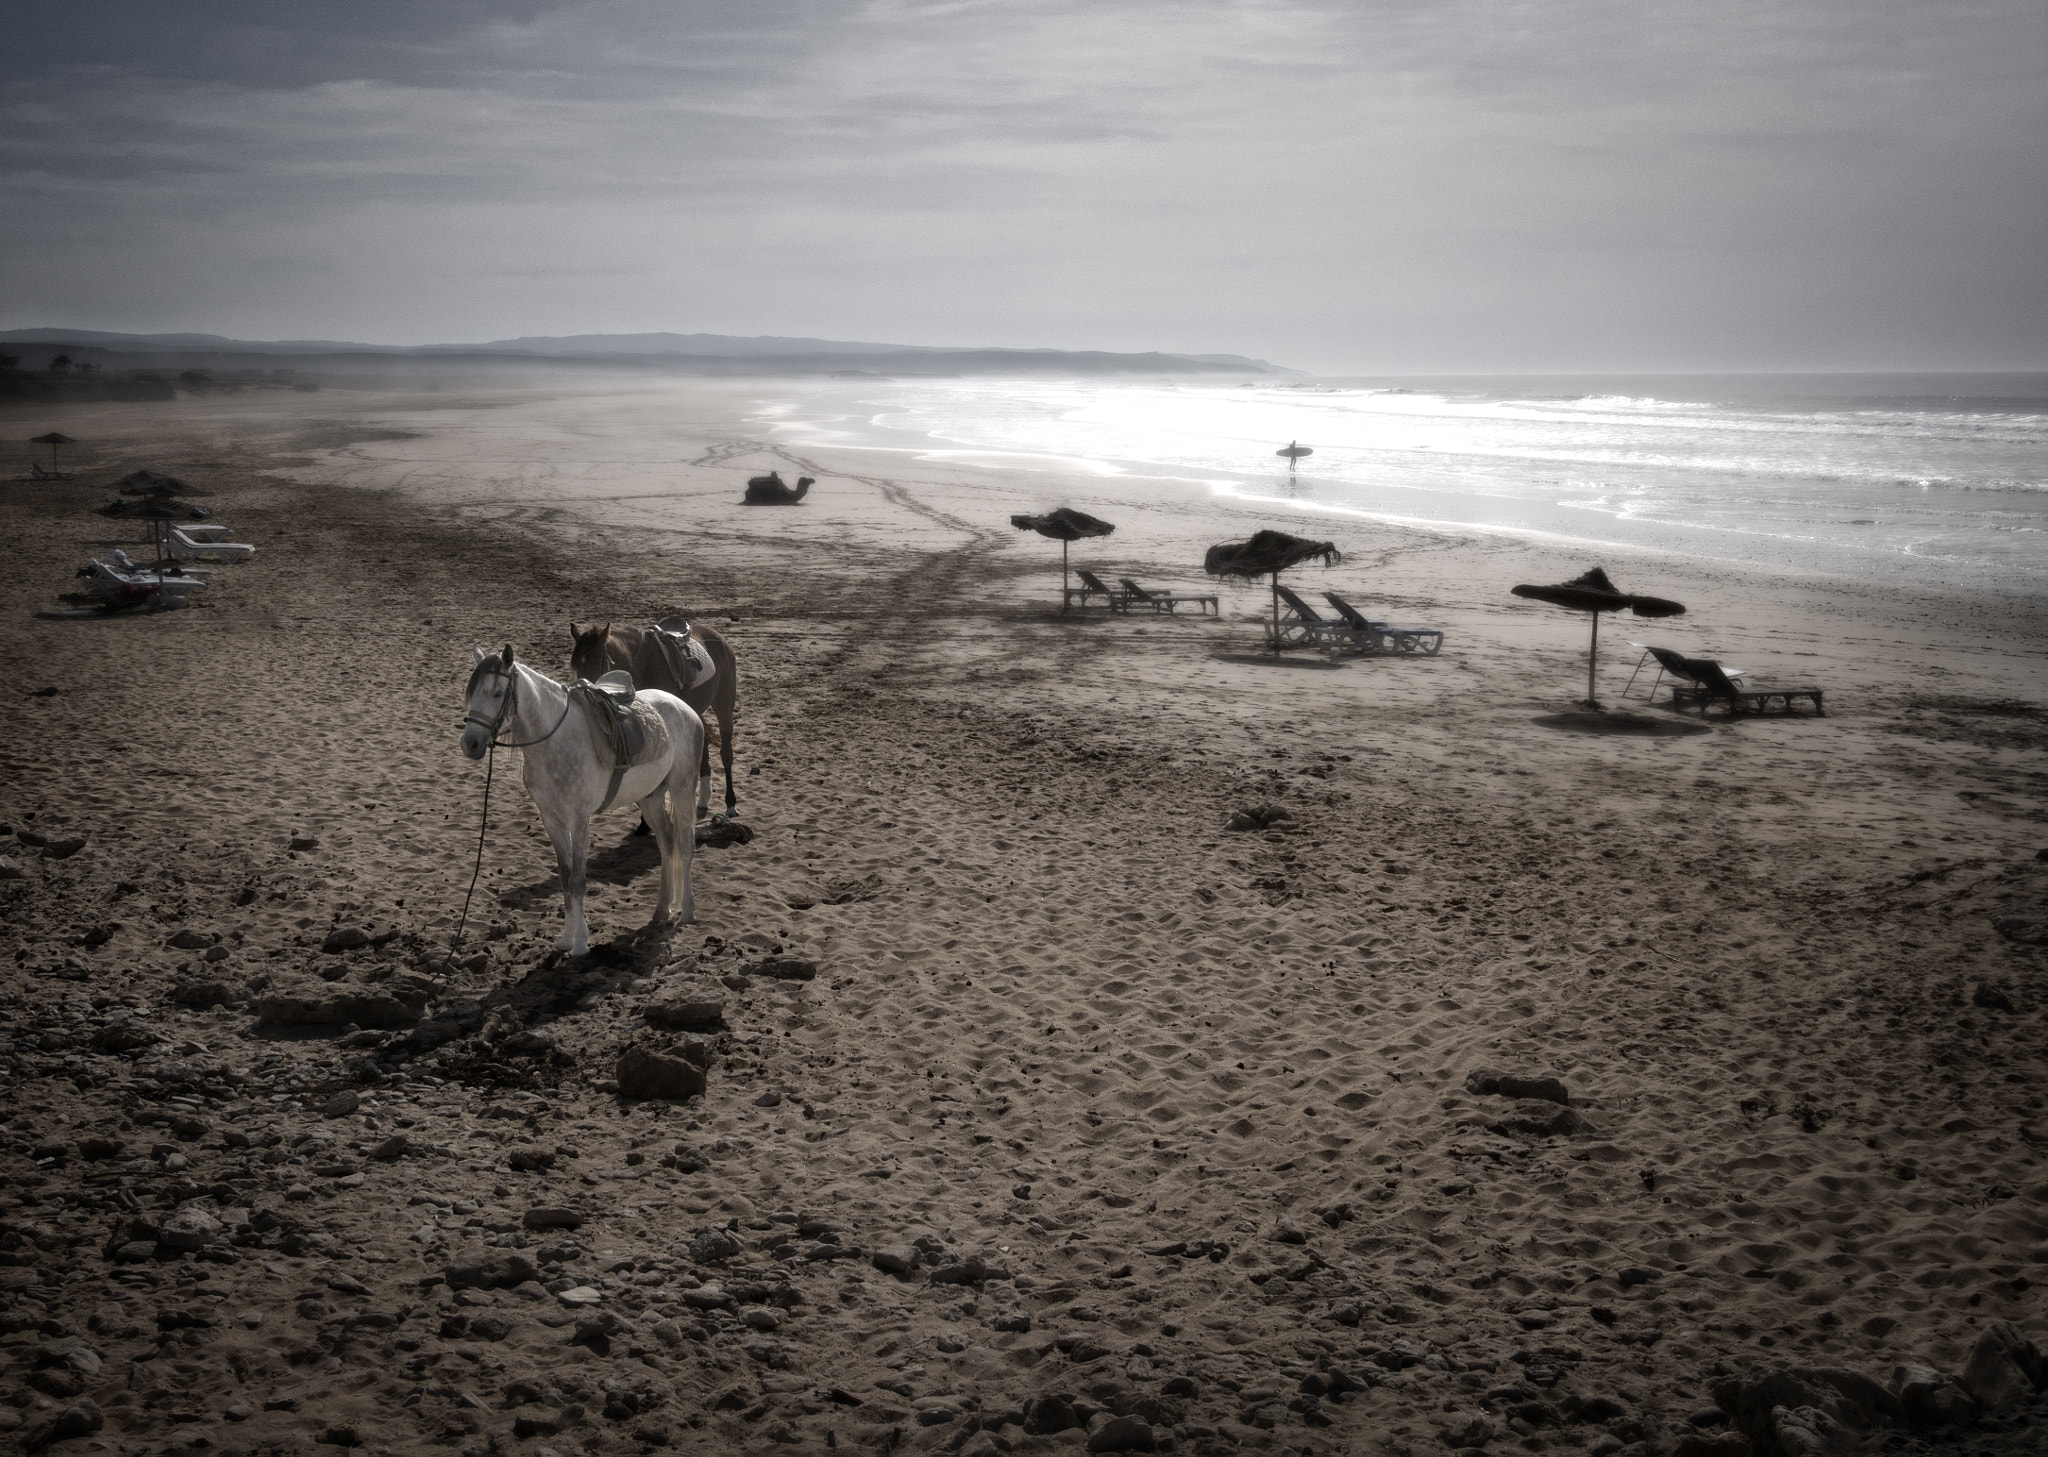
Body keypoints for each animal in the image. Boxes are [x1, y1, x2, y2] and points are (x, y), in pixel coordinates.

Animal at [458, 647, 704, 959]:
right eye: (473, 692)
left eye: (498, 693)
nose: (470, 743)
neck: (553, 743)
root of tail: (685, 708)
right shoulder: (551, 819)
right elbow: (565, 878)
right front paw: (566, 938)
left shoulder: (579, 819)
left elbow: (577, 881)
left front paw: (581, 943)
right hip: (650, 797)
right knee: (666, 842)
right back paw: (662, 909)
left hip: (682, 788)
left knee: (684, 845)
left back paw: (687, 911)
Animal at [573, 618, 741, 819]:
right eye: (575, 666)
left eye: (598, 662)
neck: (641, 666)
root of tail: (720, 639)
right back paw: (702, 801)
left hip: (724, 705)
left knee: (726, 753)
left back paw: (730, 803)